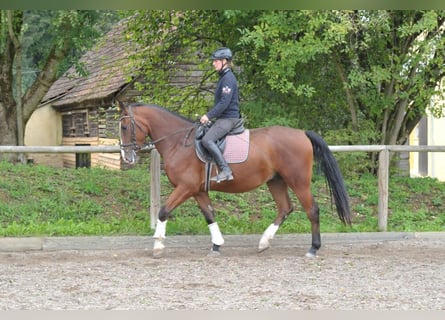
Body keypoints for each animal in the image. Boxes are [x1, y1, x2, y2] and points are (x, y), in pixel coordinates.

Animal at [118, 101, 350, 258]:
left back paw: (313, 248)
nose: (126, 157)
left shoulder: (185, 187)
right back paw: (264, 242)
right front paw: (217, 244)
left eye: (124, 127)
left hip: (298, 181)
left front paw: (157, 245)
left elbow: (164, 211)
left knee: (312, 210)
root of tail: (302, 133)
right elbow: (209, 215)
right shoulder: (198, 190)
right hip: (275, 181)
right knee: (285, 208)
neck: (178, 142)